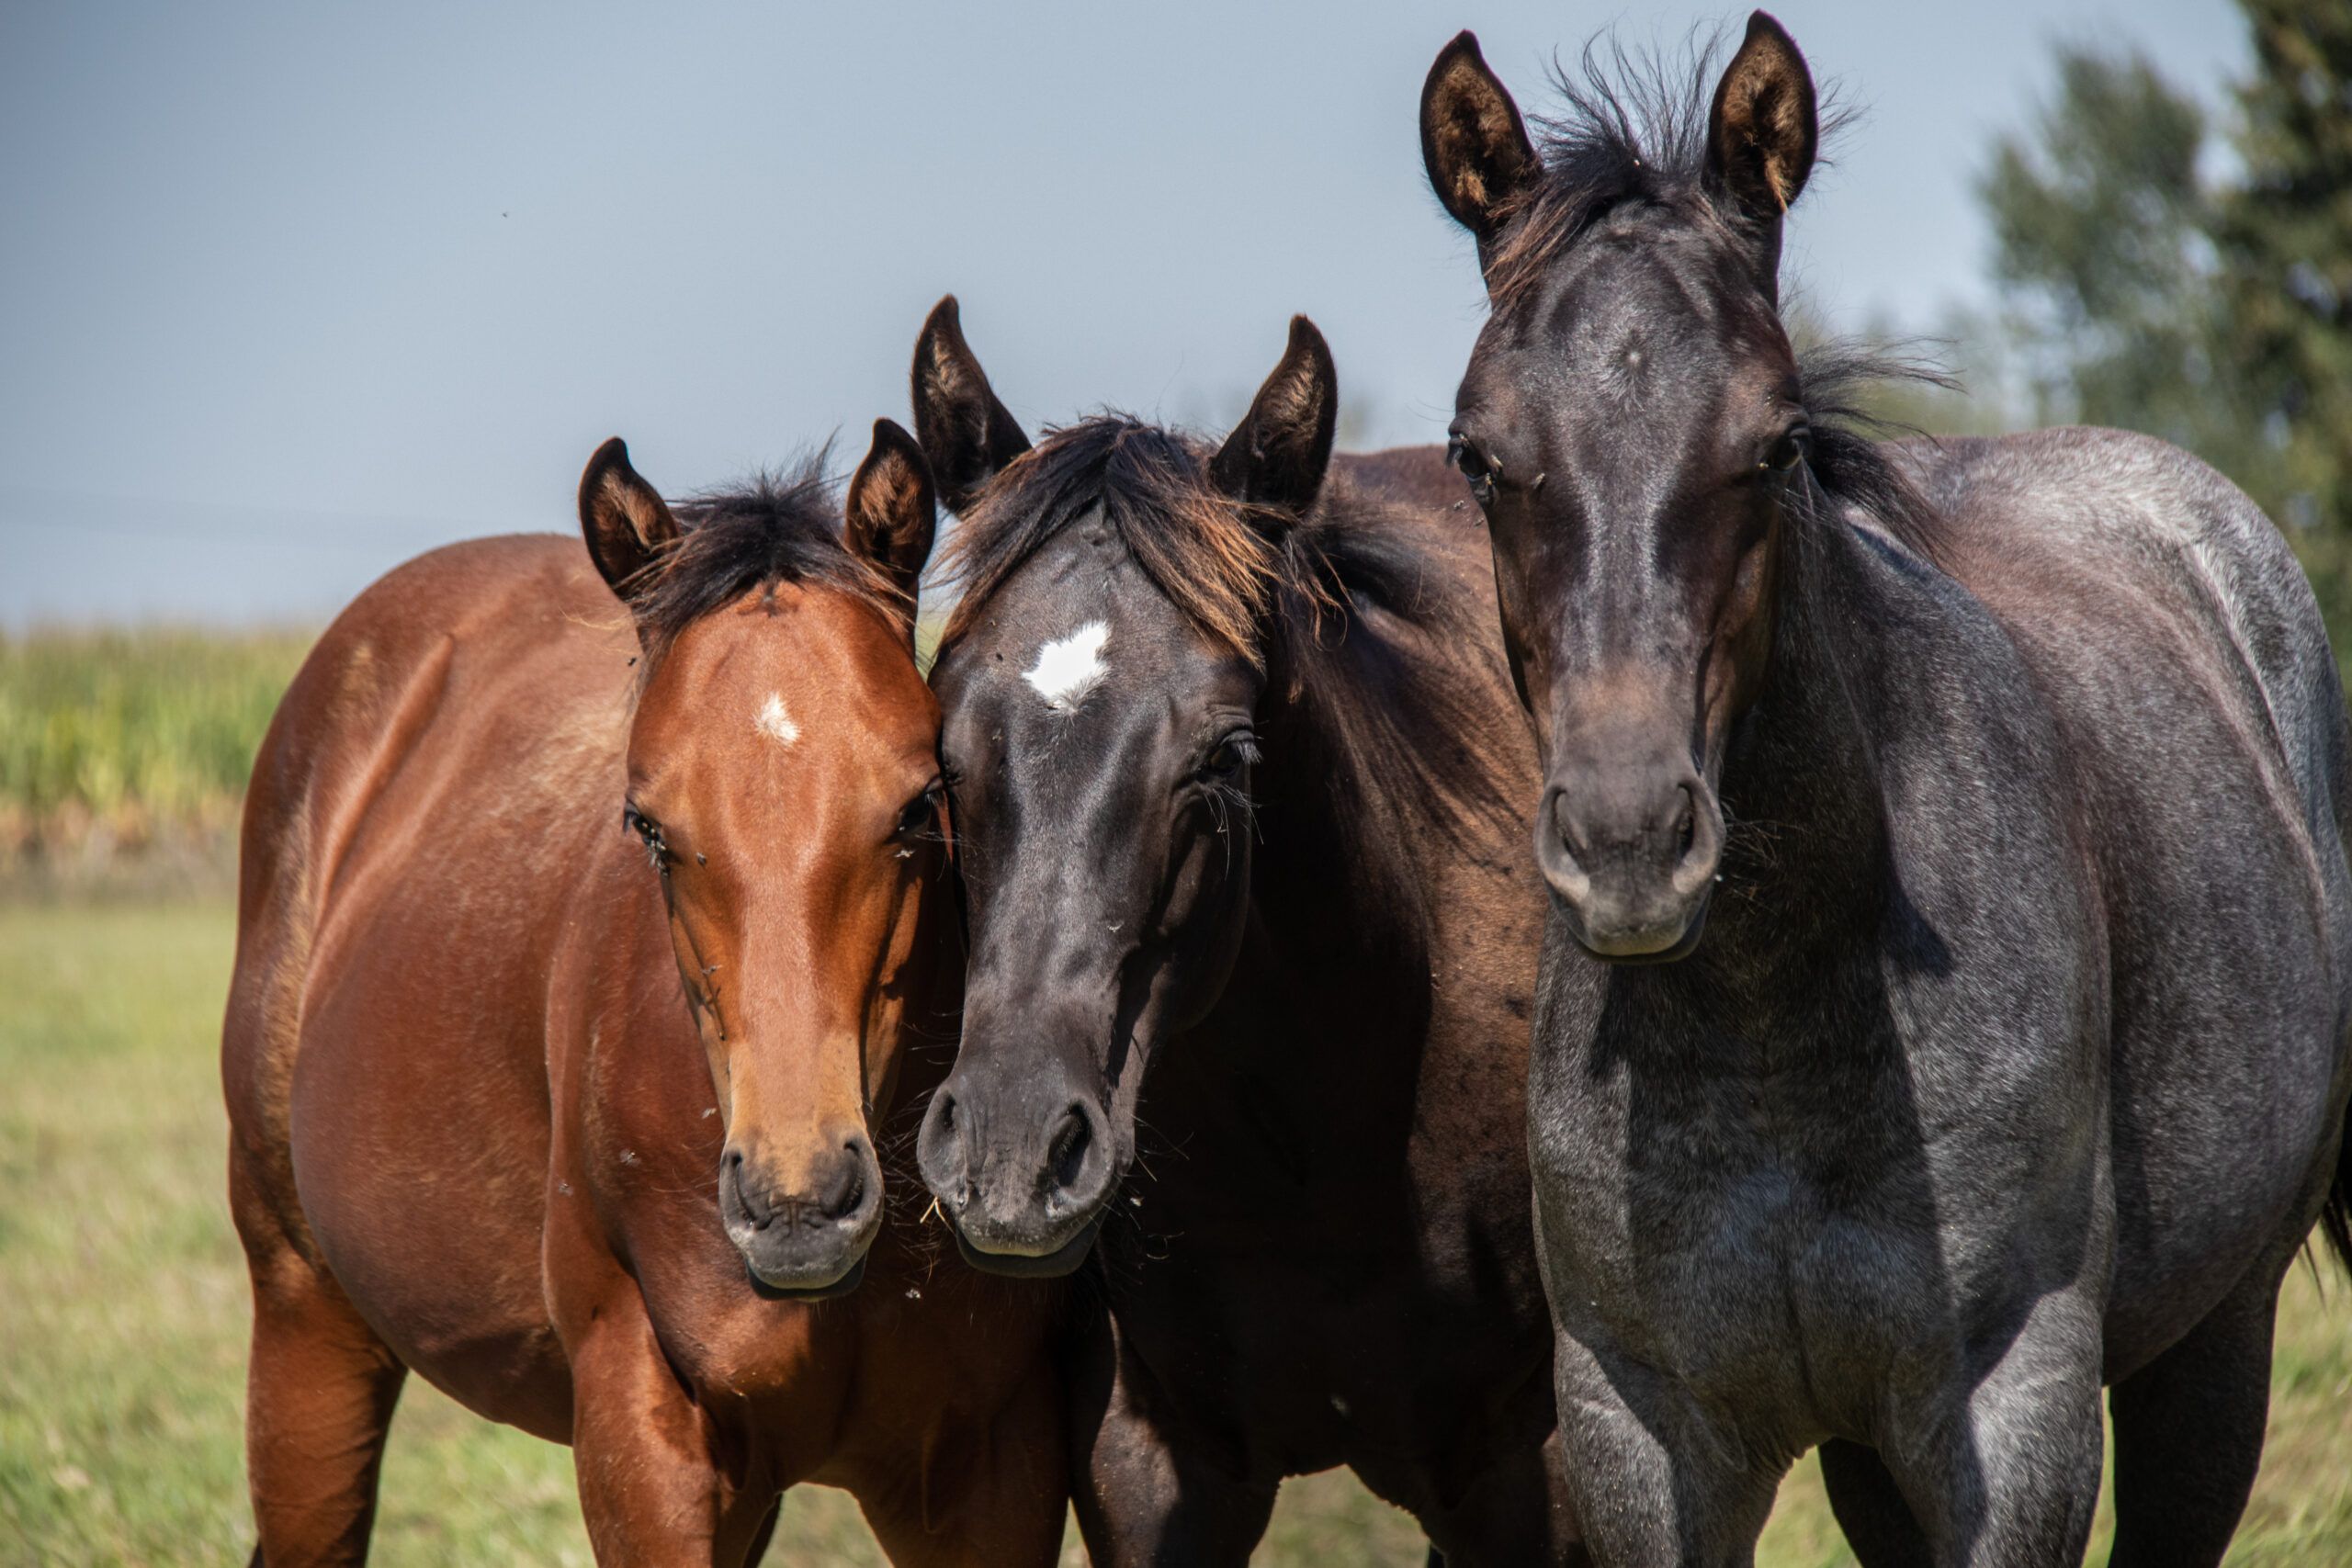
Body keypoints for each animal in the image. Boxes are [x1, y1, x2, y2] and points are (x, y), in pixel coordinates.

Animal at [221, 420, 1068, 1566]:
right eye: (651, 826)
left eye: (917, 806)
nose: (799, 1203)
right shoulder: (644, 1441)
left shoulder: (990, 1469)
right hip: (306, 1318)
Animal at [1420, 13, 2352, 1565]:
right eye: (1480, 454)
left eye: (1773, 442)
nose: (1629, 840)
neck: (1772, 1015)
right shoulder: (1643, 1430)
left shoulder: (2010, 1415)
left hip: (2214, 1340)